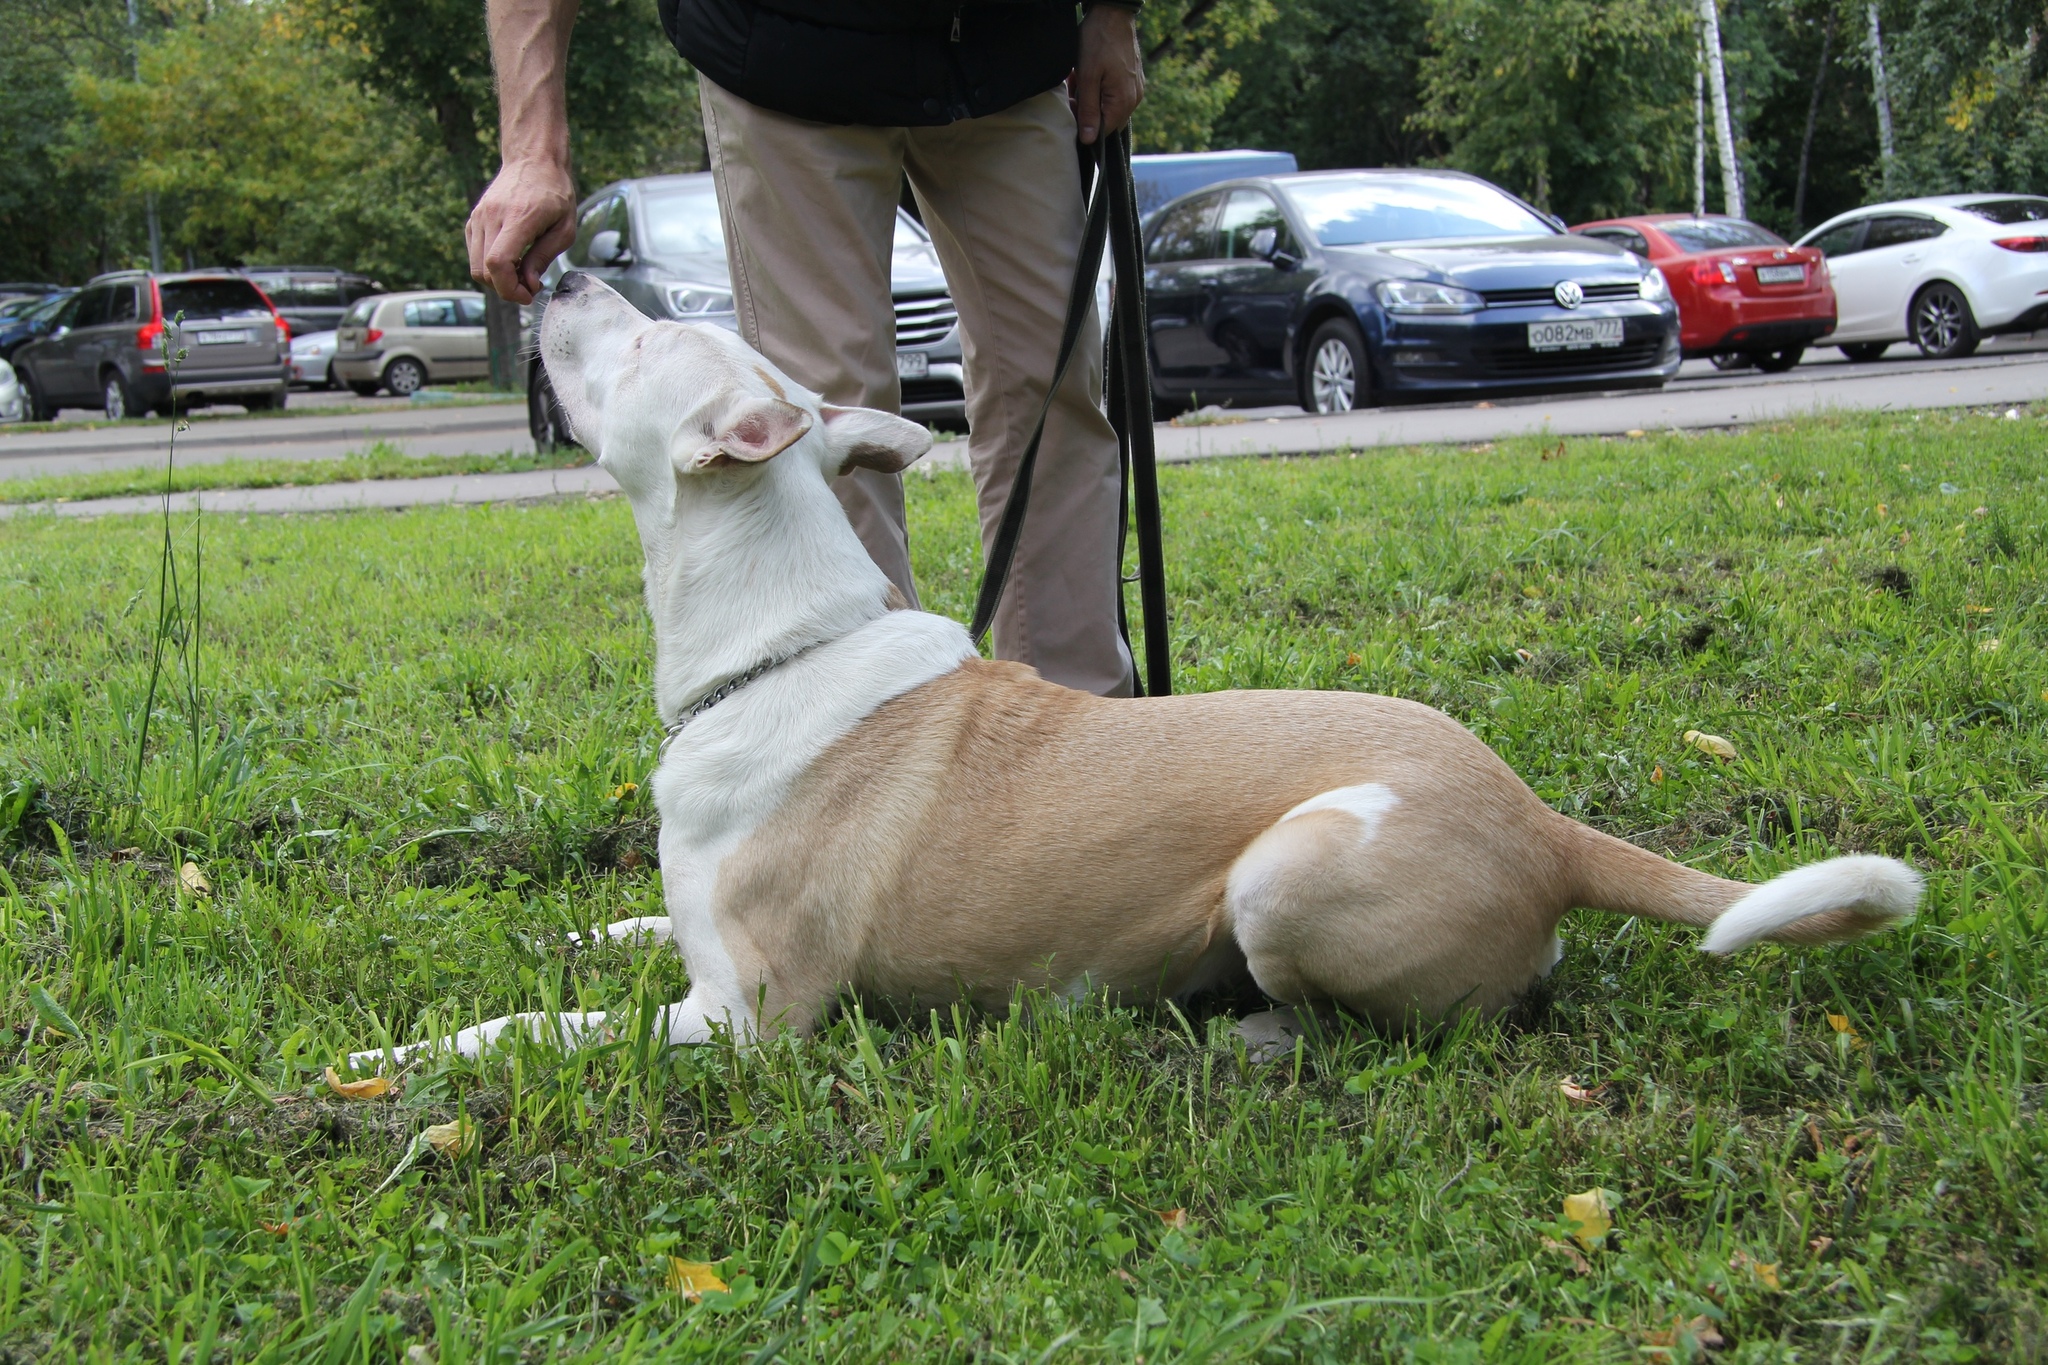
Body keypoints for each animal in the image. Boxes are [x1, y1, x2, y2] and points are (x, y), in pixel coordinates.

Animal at [352, 274, 1916, 1064]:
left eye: (647, 339)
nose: (561, 263)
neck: (776, 647)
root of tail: (1543, 825)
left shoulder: (746, 1024)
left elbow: (538, 1030)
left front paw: (401, 1057)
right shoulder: (694, 958)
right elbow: (607, 940)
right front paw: (562, 936)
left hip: (1283, 877)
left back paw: (1240, 1032)